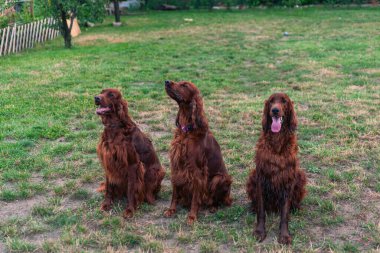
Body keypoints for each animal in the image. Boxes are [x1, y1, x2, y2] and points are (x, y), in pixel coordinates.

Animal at [94, 88, 164, 217]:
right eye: (101, 92)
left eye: (111, 95)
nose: (96, 98)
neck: (114, 127)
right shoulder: (108, 162)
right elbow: (109, 188)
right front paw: (106, 204)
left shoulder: (133, 165)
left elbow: (131, 189)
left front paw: (130, 209)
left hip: (157, 171)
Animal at [163, 80, 232, 224]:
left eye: (184, 85)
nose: (166, 81)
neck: (186, 131)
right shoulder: (176, 166)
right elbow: (175, 192)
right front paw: (171, 209)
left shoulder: (197, 171)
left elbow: (195, 197)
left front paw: (192, 216)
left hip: (219, 178)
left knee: (217, 199)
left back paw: (213, 207)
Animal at [246, 93, 306, 245]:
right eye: (271, 101)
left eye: (284, 101)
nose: (275, 110)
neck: (277, 141)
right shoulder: (261, 178)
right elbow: (261, 211)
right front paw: (259, 231)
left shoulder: (287, 179)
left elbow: (284, 214)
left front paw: (284, 235)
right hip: (252, 176)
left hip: (300, 175)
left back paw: (296, 208)